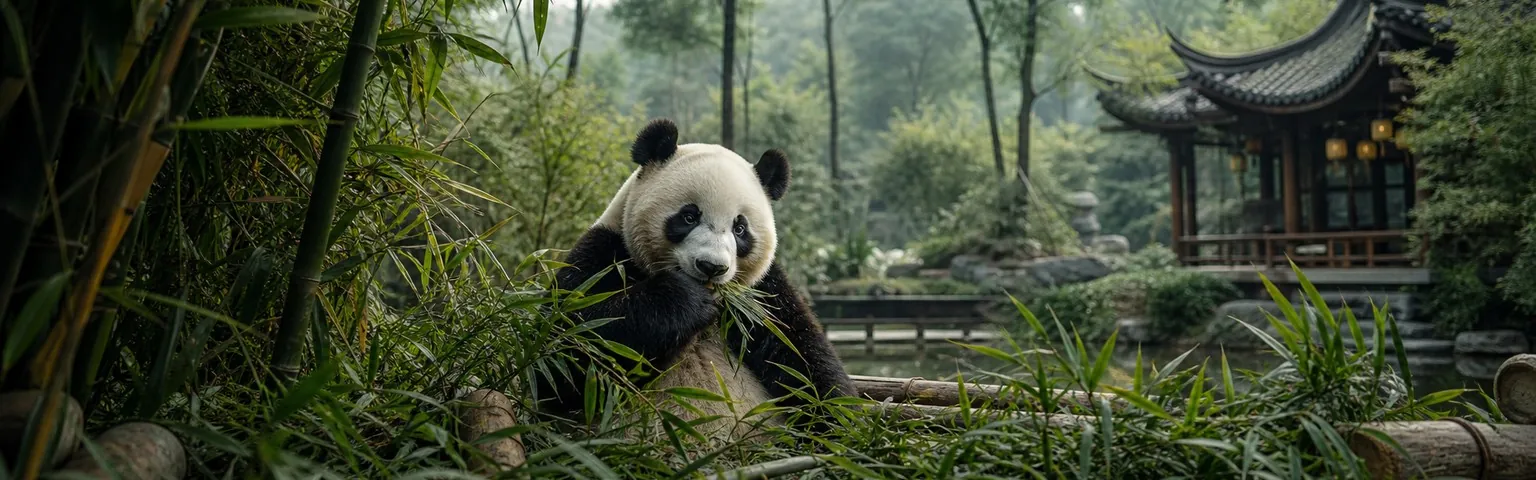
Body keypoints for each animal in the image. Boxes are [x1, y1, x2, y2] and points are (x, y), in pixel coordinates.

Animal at [534, 118, 857, 441]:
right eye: (689, 216)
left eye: (740, 228)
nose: (712, 266)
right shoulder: (605, 254)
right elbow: (564, 356)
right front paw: (682, 300)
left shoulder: (763, 294)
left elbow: (803, 362)